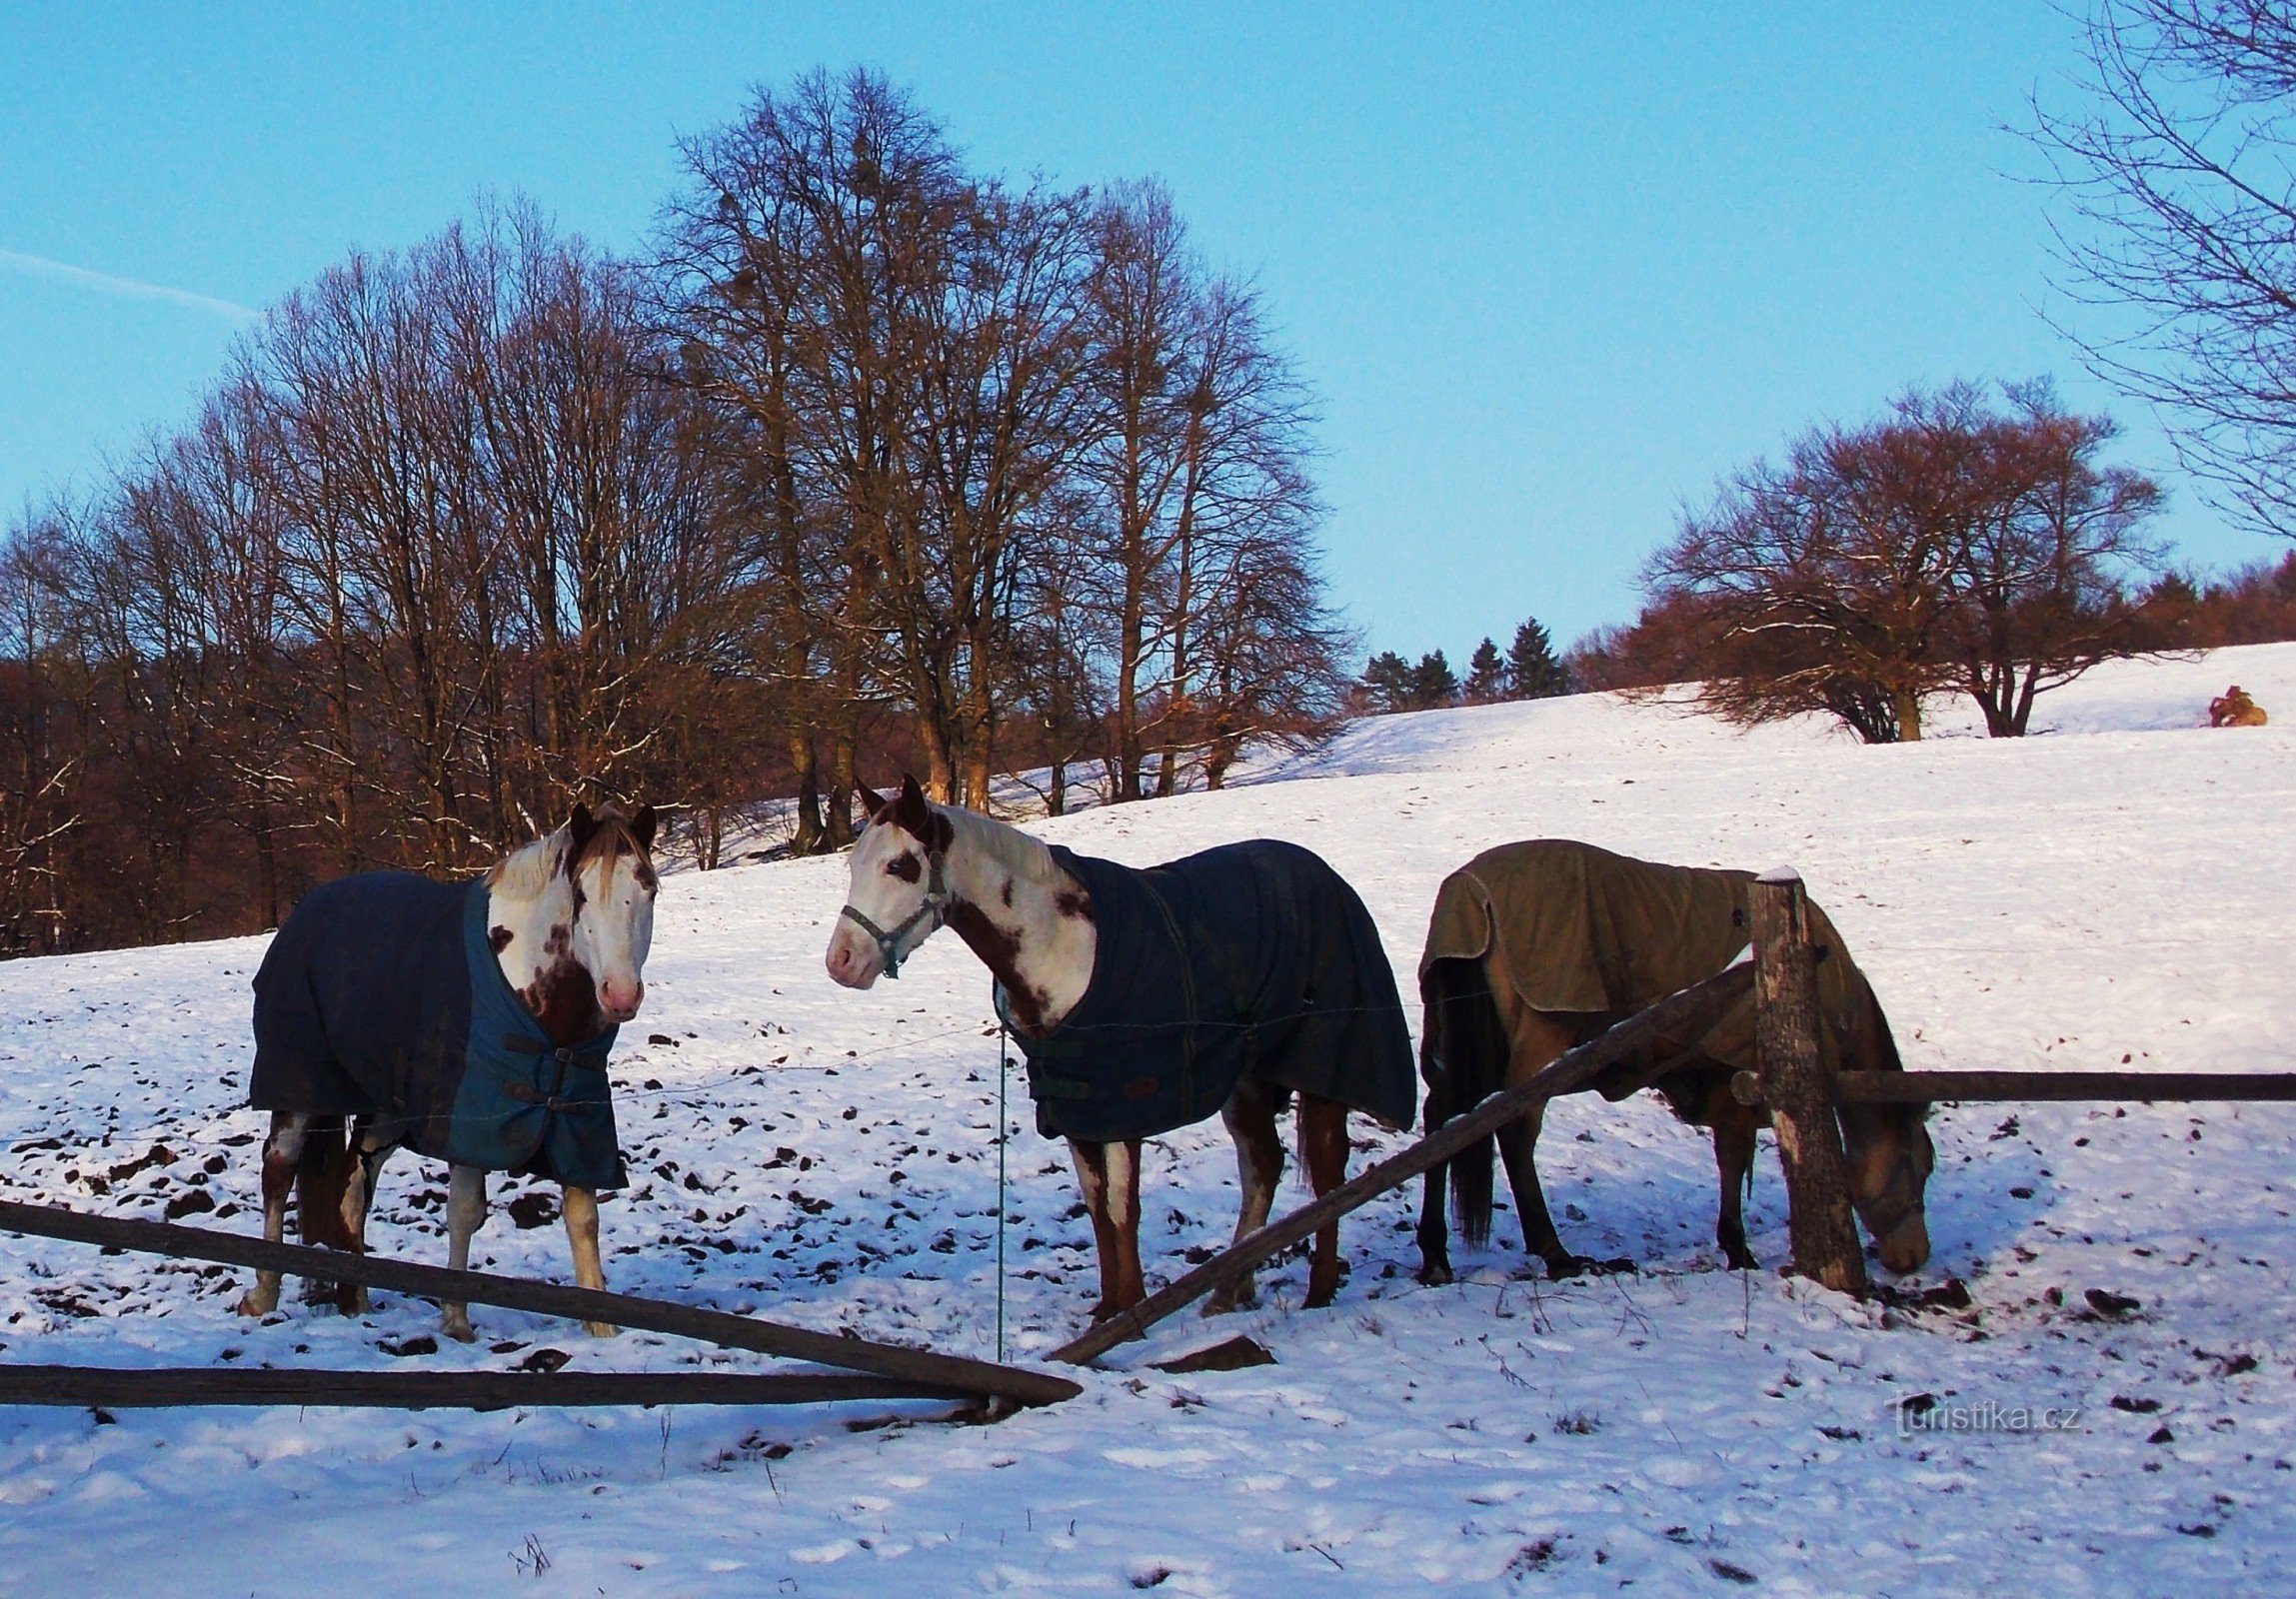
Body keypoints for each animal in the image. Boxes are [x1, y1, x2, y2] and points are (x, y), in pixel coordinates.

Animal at [238, 802, 661, 1339]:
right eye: (582, 896)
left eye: (649, 890)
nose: (620, 994)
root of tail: (304, 911)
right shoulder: (471, 1119)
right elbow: (464, 1211)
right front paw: (456, 1320)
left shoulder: (576, 1122)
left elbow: (583, 1219)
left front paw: (602, 1329)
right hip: (300, 1090)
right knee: (278, 1171)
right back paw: (264, 1293)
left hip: (387, 1108)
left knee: (352, 1183)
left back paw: (355, 1299)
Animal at [817, 775, 1404, 1321]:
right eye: (855, 866)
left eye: (899, 866)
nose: (841, 963)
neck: (1066, 949)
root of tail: (1326, 877)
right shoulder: (1077, 1107)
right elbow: (1097, 1207)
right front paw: (1108, 1310)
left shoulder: (1121, 1104)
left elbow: (1123, 1208)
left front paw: (1133, 1313)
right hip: (1247, 1081)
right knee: (1262, 1164)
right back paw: (1228, 1290)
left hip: (1323, 1067)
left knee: (1327, 1173)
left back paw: (1319, 1291)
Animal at [1404, 834, 1928, 1284]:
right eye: (1922, 1168)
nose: (1915, 1256)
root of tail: (1469, 894)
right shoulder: (1735, 1071)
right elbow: (1733, 1156)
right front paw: (1738, 1247)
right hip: (1541, 1037)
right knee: (1514, 1127)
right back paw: (1554, 1251)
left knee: (1444, 1117)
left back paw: (1436, 1254)